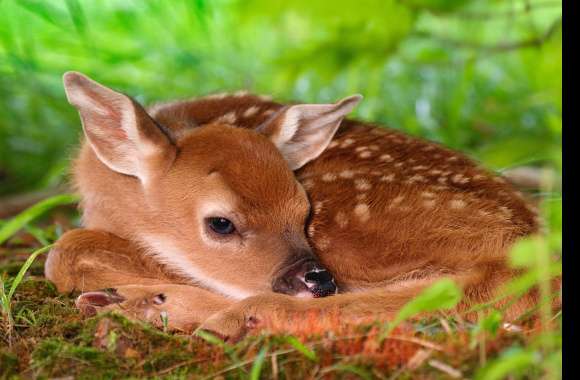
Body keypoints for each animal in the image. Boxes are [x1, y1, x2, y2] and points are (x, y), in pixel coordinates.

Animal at [44, 72, 540, 340]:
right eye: (221, 223)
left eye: (304, 211)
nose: (318, 279)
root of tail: (525, 239)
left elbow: (63, 254)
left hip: (357, 232)